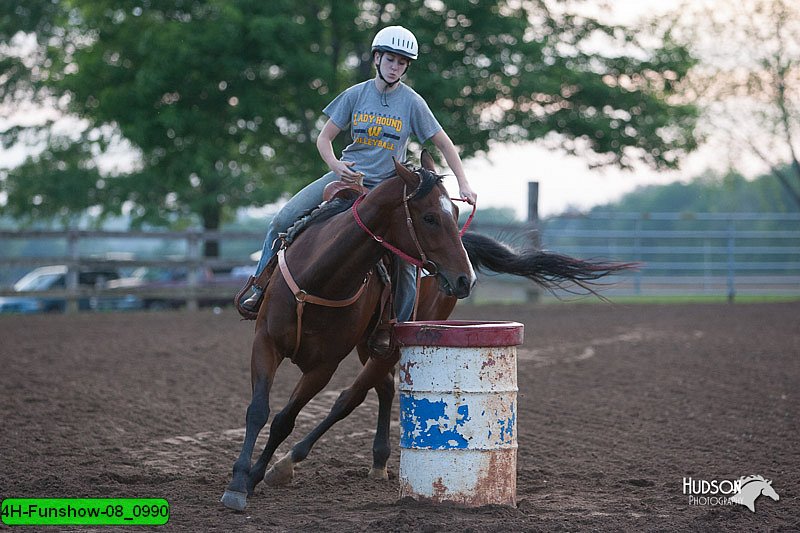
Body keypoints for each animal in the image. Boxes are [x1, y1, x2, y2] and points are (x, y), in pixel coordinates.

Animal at [222, 152, 636, 510]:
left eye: (456, 211)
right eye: (430, 217)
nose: (465, 279)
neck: (320, 279)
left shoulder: (324, 366)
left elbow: (286, 418)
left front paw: (254, 475)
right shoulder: (266, 344)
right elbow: (258, 410)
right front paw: (239, 481)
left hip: (385, 346)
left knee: (350, 398)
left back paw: (293, 462)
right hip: (370, 345)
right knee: (384, 388)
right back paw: (377, 461)